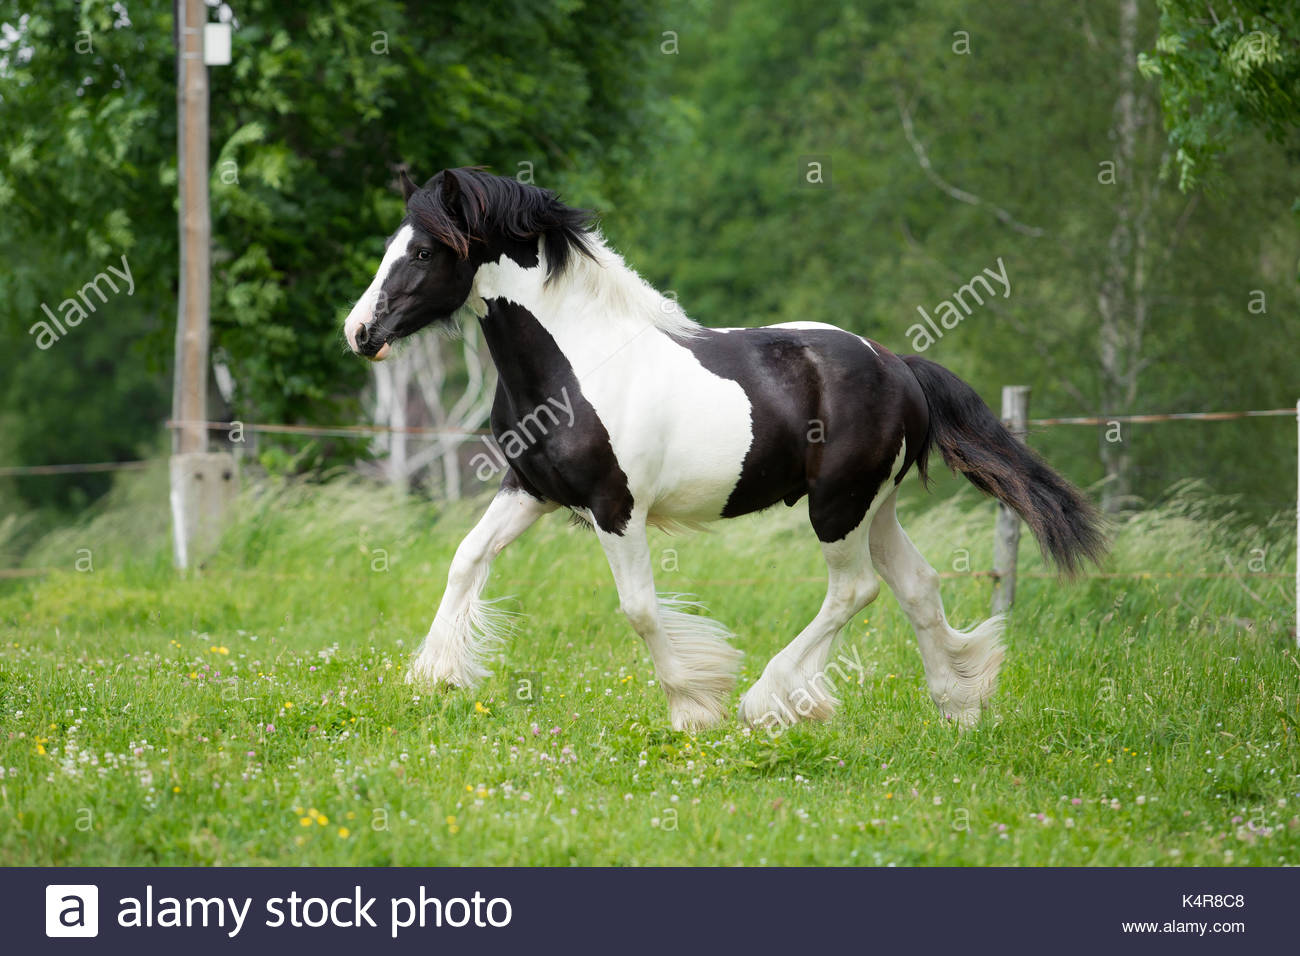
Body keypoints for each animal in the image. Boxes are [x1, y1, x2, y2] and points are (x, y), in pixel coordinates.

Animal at [343, 166, 1105, 732]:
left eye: (420, 252)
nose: (359, 333)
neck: (577, 365)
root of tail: (899, 365)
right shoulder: (529, 490)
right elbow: (467, 560)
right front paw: (432, 676)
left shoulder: (615, 508)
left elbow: (640, 608)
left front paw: (694, 706)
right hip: (875, 506)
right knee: (916, 586)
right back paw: (959, 706)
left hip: (837, 507)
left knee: (854, 590)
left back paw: (770, 701)